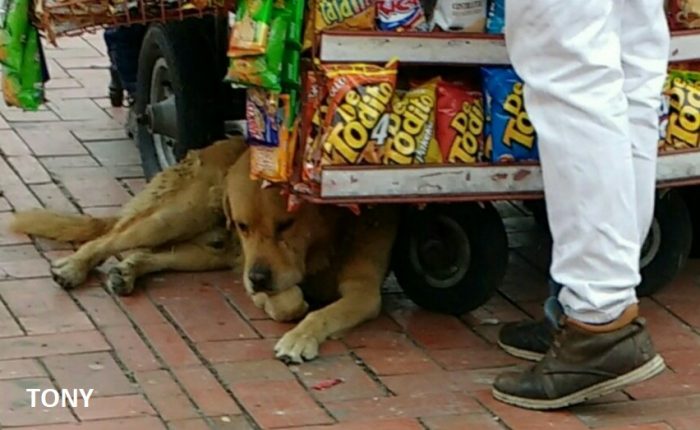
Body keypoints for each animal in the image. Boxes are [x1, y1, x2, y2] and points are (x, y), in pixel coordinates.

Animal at [9, 138, 247, 296]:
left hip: (211, 251)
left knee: (148, 254)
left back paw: (125, 273)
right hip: (178, 217)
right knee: (103, 241)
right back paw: (73, 269)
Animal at [224, 151, 400, 362]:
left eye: (286, 224)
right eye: (242, 225)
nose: (257, 278)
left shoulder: (364, 289)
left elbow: (323, 314)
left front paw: (300, 337)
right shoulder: (250, 276)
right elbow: (287, 303)